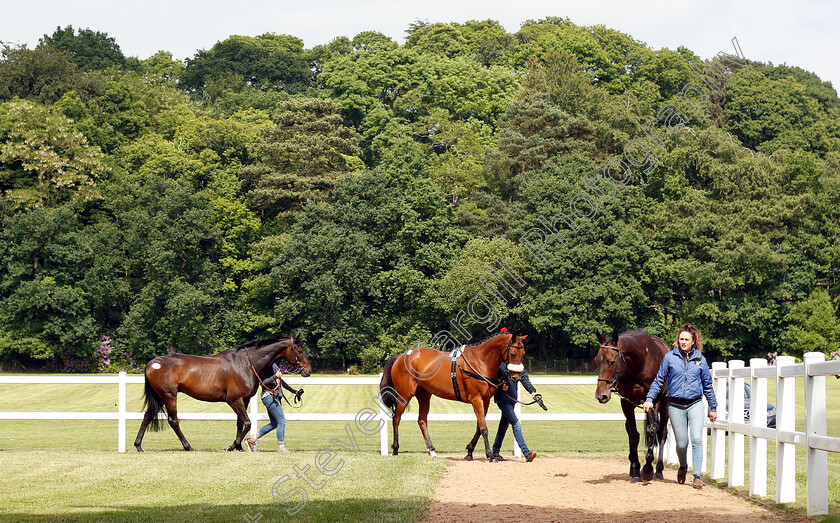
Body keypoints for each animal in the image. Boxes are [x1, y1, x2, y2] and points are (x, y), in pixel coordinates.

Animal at [135, 336, 312, 454]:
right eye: (300, 350)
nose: (308, 371)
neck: (245, 364)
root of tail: (152, 363)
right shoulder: (234, 400)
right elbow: (247, 423)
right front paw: (232, 446)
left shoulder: (244, 399)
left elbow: (240, 423)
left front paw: (239, 447)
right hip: (169, 396)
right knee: (173, 421)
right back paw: (188, 446)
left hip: (159, 397)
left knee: (147, 417)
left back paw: (139, 446)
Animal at [378, 334, 524, 460]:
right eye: (512, 353)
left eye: (523, 354)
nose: (516, 377)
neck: (480, 361)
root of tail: (401, 356)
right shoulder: (476, 400)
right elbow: (484, 428)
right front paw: (490, 455)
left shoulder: (485, 401)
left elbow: (479, 426)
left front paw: (470, 451)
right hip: (404, 396)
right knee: (396, 419)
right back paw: (395, 449)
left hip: (424, 396)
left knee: (422, 421)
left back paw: (432, 450)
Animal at [596, 330, 668, 486]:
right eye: (597, 360)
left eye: (612, 362)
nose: (601, 395)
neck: (639, 363)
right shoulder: (627, 403)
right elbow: (633, 434)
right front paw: (636, 471)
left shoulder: (655, 401)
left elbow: (653, 430)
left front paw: (647, 468)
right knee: (630, 429)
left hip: (666, 404)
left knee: (662, 433)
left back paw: (658, 470)